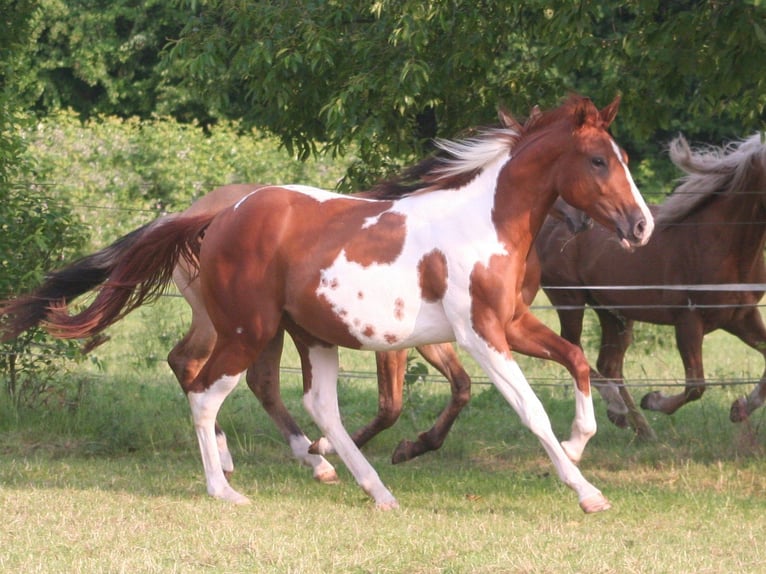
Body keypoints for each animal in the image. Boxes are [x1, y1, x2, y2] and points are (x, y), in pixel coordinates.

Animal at [2, 95, 654, 512]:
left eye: (621, 158)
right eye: (598, 160)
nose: (642, 226)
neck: (483, 224)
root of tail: (219, 214)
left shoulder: (511, 324)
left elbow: (576, 361)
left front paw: (577, 444)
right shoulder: (481, 335)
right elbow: (529, 409)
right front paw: (589, 492)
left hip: (307, 333)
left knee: (316, 407)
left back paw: (369, 488)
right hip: (247, 330)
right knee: (206, 391)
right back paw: (226, 487)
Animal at [536, 132, 766, 433]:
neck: (724, 245)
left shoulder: (742, 317)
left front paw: (739, 409)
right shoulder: (688, 321)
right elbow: (696, 385)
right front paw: (654, 399)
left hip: (613, 312)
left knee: (609, 364)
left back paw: (638, 426)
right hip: (569, 299)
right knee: (573, 351)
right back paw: (619, 409)